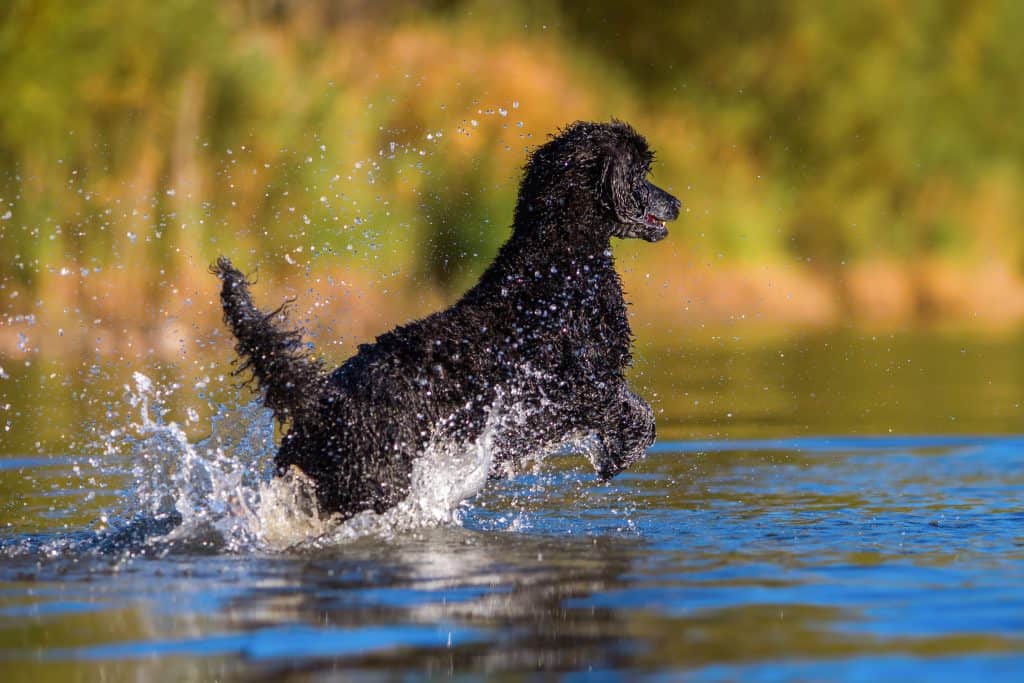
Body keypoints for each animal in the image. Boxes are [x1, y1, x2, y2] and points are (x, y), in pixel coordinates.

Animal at [214, 121, 679, 518]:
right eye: (640, 173)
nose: (676, 203)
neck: (558, 264)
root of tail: (320, 407)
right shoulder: (577, 387)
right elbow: (638, 416)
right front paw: (617, 455)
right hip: (377, 484)